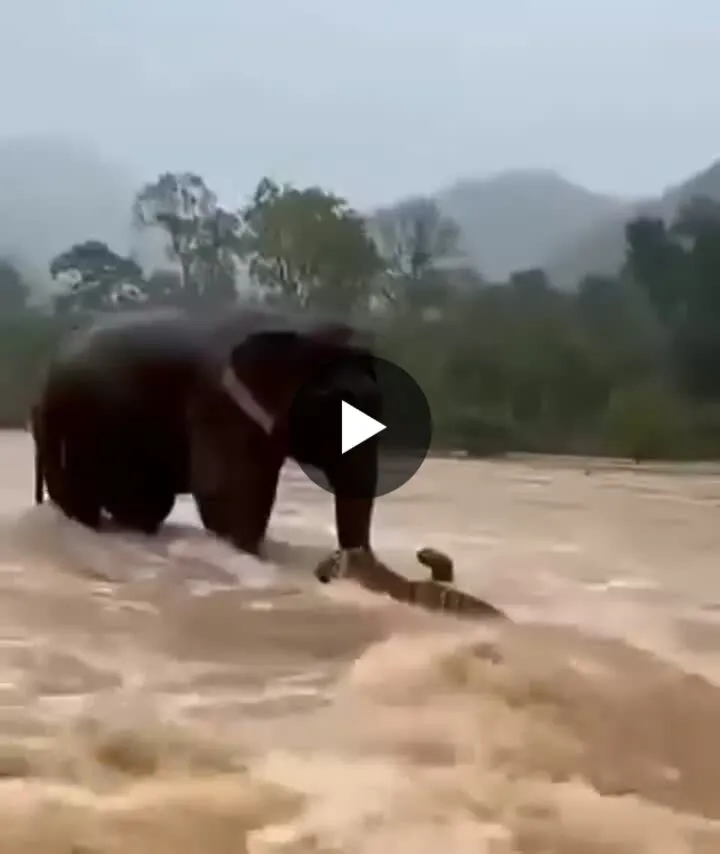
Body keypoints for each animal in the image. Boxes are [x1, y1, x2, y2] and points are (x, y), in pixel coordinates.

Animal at [31, 304, 382, 558]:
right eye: (338, 406)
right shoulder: (219, 405)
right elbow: (225, 498)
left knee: (144, 506)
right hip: (63, 425)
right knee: (81, 504)